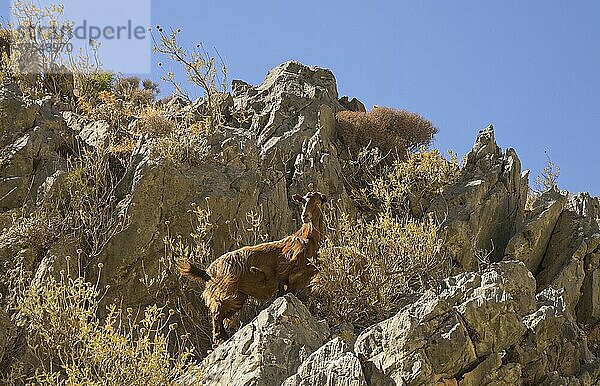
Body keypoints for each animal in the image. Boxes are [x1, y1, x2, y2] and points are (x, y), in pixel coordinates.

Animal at [179, 191, 328, 346]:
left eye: (318, 201)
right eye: (303, 202)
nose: (305, 216)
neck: (308, 238)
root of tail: (208, 272)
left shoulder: (295, 281)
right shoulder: (285, 275)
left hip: (238, 296)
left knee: (223, 315)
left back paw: (225, 338)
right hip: (225, 291)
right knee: (217, 314)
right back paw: (219, 339)